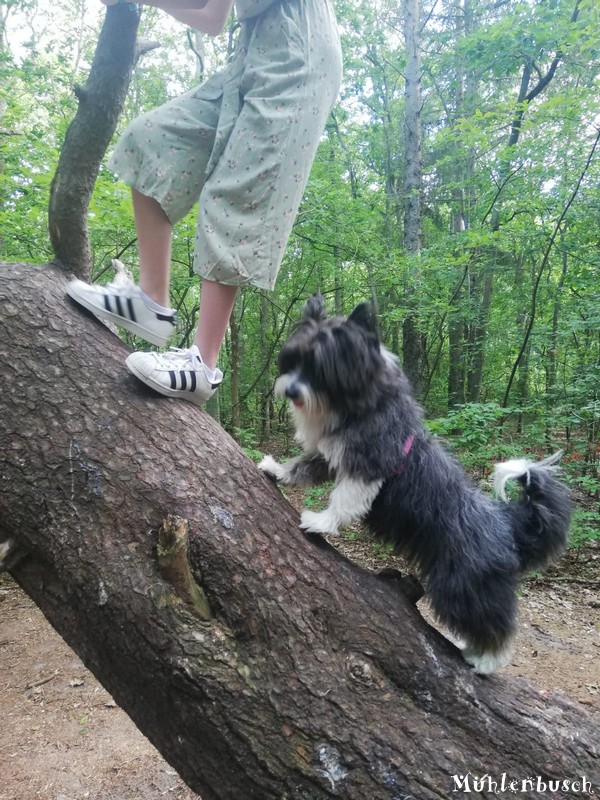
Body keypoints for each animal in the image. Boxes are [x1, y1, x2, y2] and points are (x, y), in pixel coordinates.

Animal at [258, 296, 572, 676]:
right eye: (293, 360)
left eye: (320, 369)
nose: (289, 390)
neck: (357, 404)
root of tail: (506, 522)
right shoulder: (330, 455)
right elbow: (303, 466)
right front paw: (277, 470)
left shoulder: (370, 462)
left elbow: (345, 499)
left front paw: (321, 522)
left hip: (462, 583)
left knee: (491, 620)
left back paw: (485, 659)